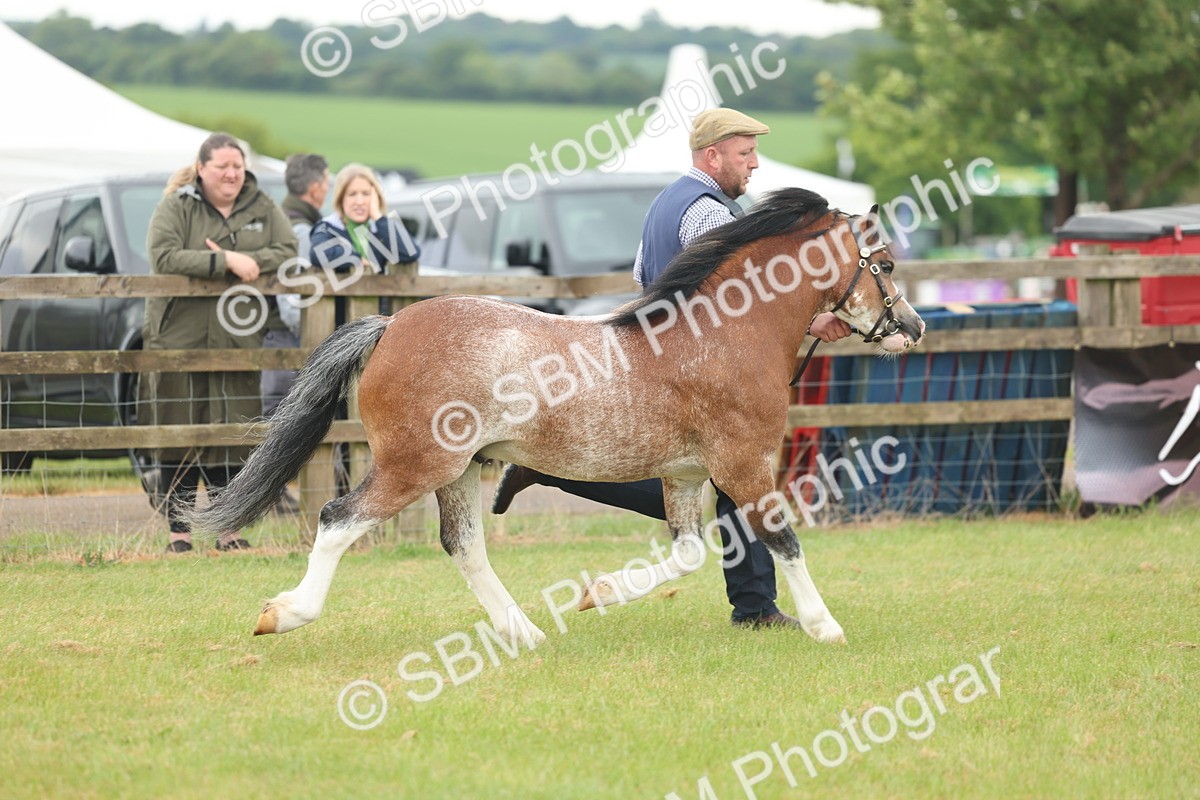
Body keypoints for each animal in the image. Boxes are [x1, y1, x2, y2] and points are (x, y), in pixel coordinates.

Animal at [186, 188, 925, 646]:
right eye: (886, 263)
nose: (914, 327)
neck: (725, 332)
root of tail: (391, 324)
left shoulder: (686, 476)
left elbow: (688, 554)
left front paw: (599, 592)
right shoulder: (743, 467)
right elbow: (783, 540)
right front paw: (825, 626)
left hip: (459, 470)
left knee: (463, 546)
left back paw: (524, 631)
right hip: (414, 464)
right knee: (340, 519)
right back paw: (284, 614)